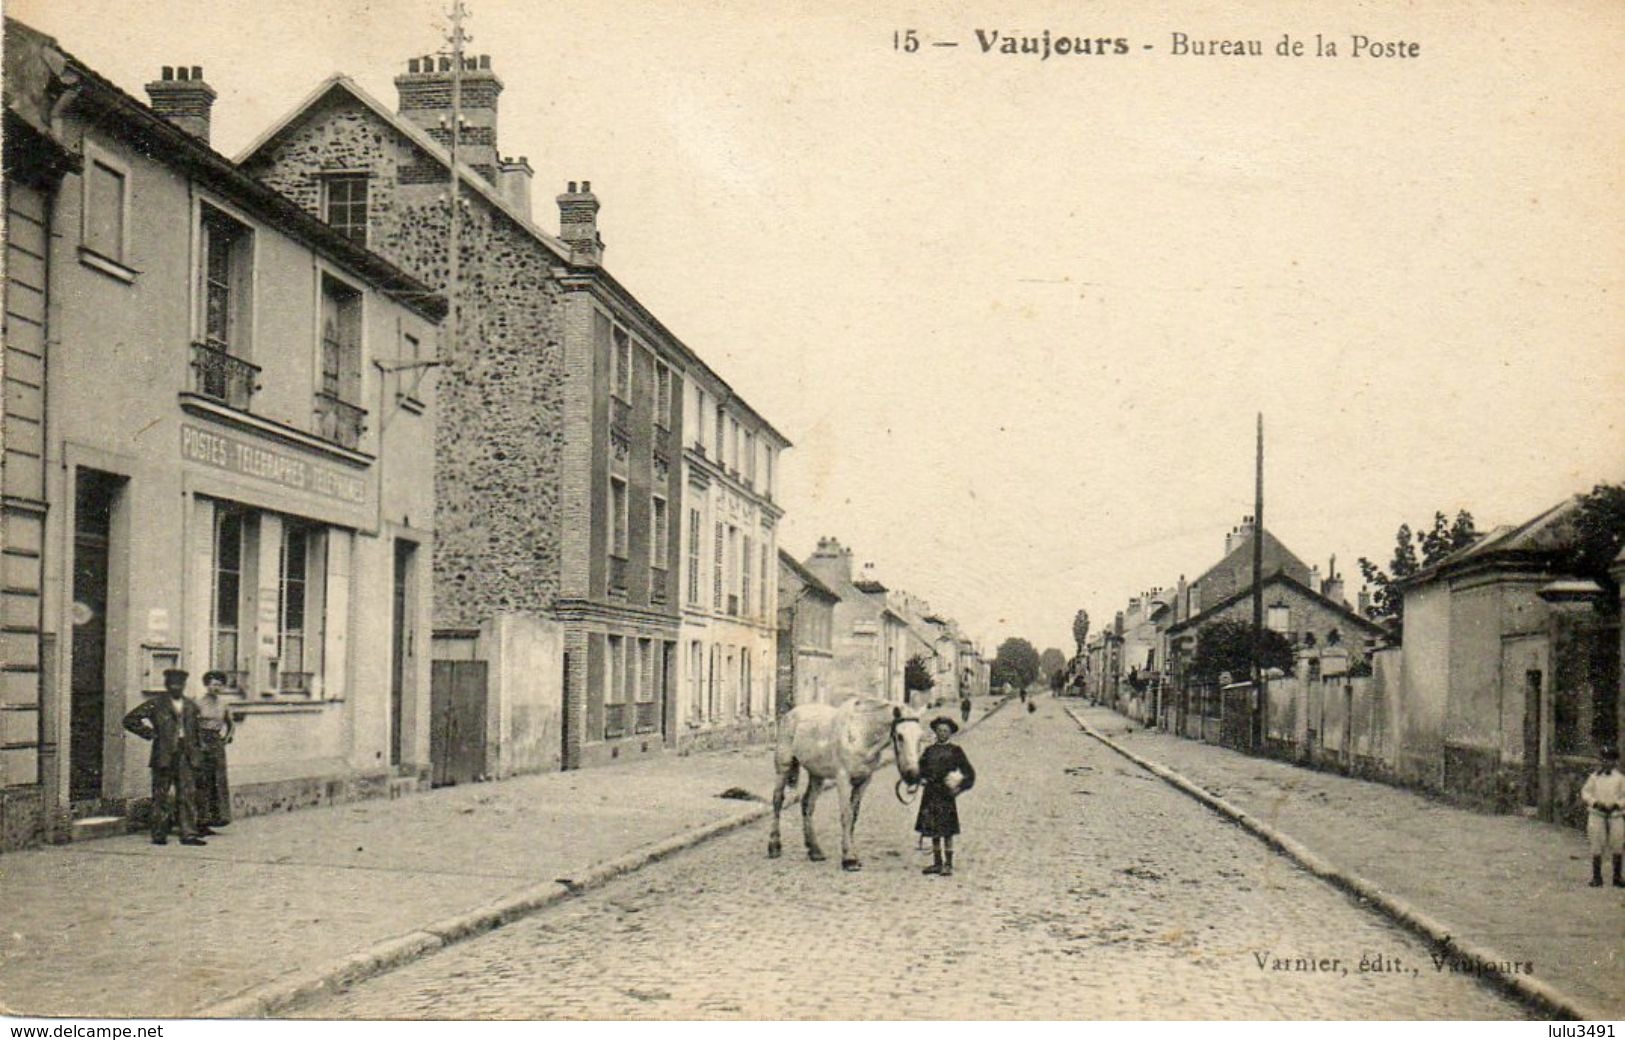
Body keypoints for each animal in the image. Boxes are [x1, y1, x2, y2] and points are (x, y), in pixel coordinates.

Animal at [763, 698, 923, 871]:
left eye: (920, 737)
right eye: (900, 736)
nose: (913, 775)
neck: (861, 733)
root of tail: (791, 713)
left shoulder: (864, 781)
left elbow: (854, 816)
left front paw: (852, 854)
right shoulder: (843, 779)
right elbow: (846, 815)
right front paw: (849, 859)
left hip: (817, 775)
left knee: (807, 804)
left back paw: (815, 851)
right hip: (783, 767)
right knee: (778, 801)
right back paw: (774, 846)